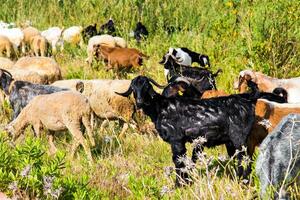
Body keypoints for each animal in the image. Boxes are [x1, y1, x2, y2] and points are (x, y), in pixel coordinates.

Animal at [116, 75, 256, 186]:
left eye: (146, 86)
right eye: (133, 88)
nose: (139, 102)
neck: (160, 107)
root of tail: (247, 100)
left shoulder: (176, 140)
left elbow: (178, 161)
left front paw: (179, 184)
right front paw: (186, 182)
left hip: (238, 138)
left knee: (244, 158)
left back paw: (243, 181)